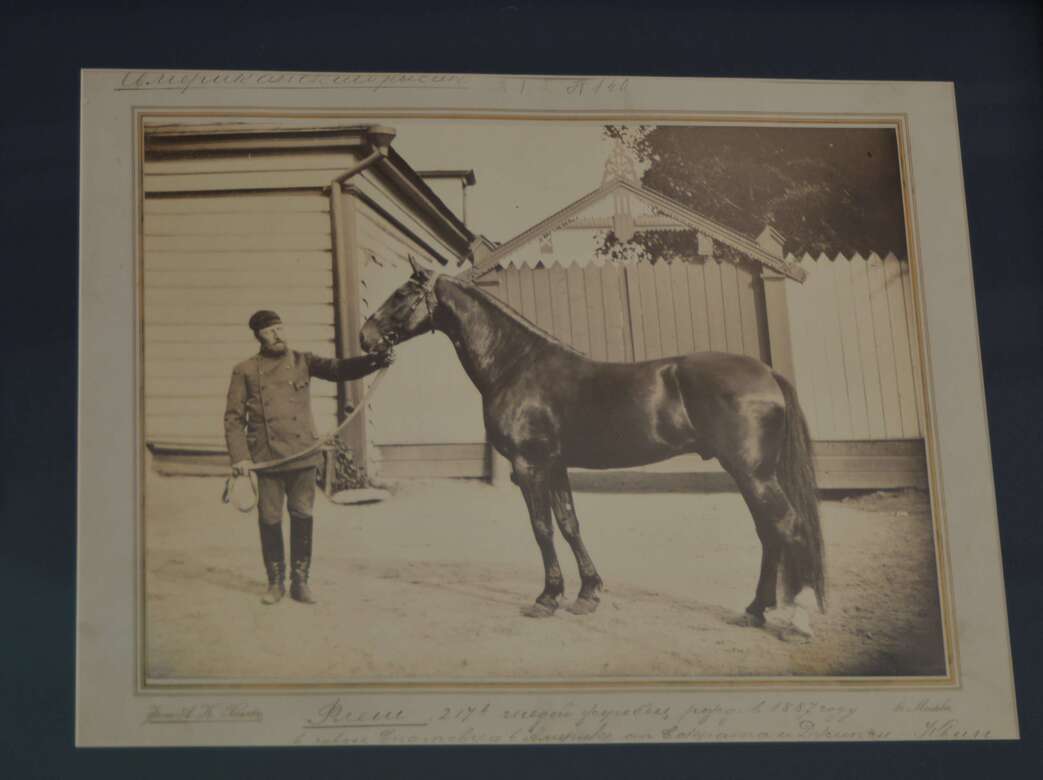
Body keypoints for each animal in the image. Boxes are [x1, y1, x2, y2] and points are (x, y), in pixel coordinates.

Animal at [359, 259, 826, 641]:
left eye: (400, 293)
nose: (366, 337)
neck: (516, 365)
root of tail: (766, 372)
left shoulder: (529, 465)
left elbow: (542, 528)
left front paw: (547, 598)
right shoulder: (555, 464)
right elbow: (569, 524)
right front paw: (587, 593)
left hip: (753, 473)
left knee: (788, 526)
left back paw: (798, 620)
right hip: (751, 474)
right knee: (769, 532)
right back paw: (754, 610)